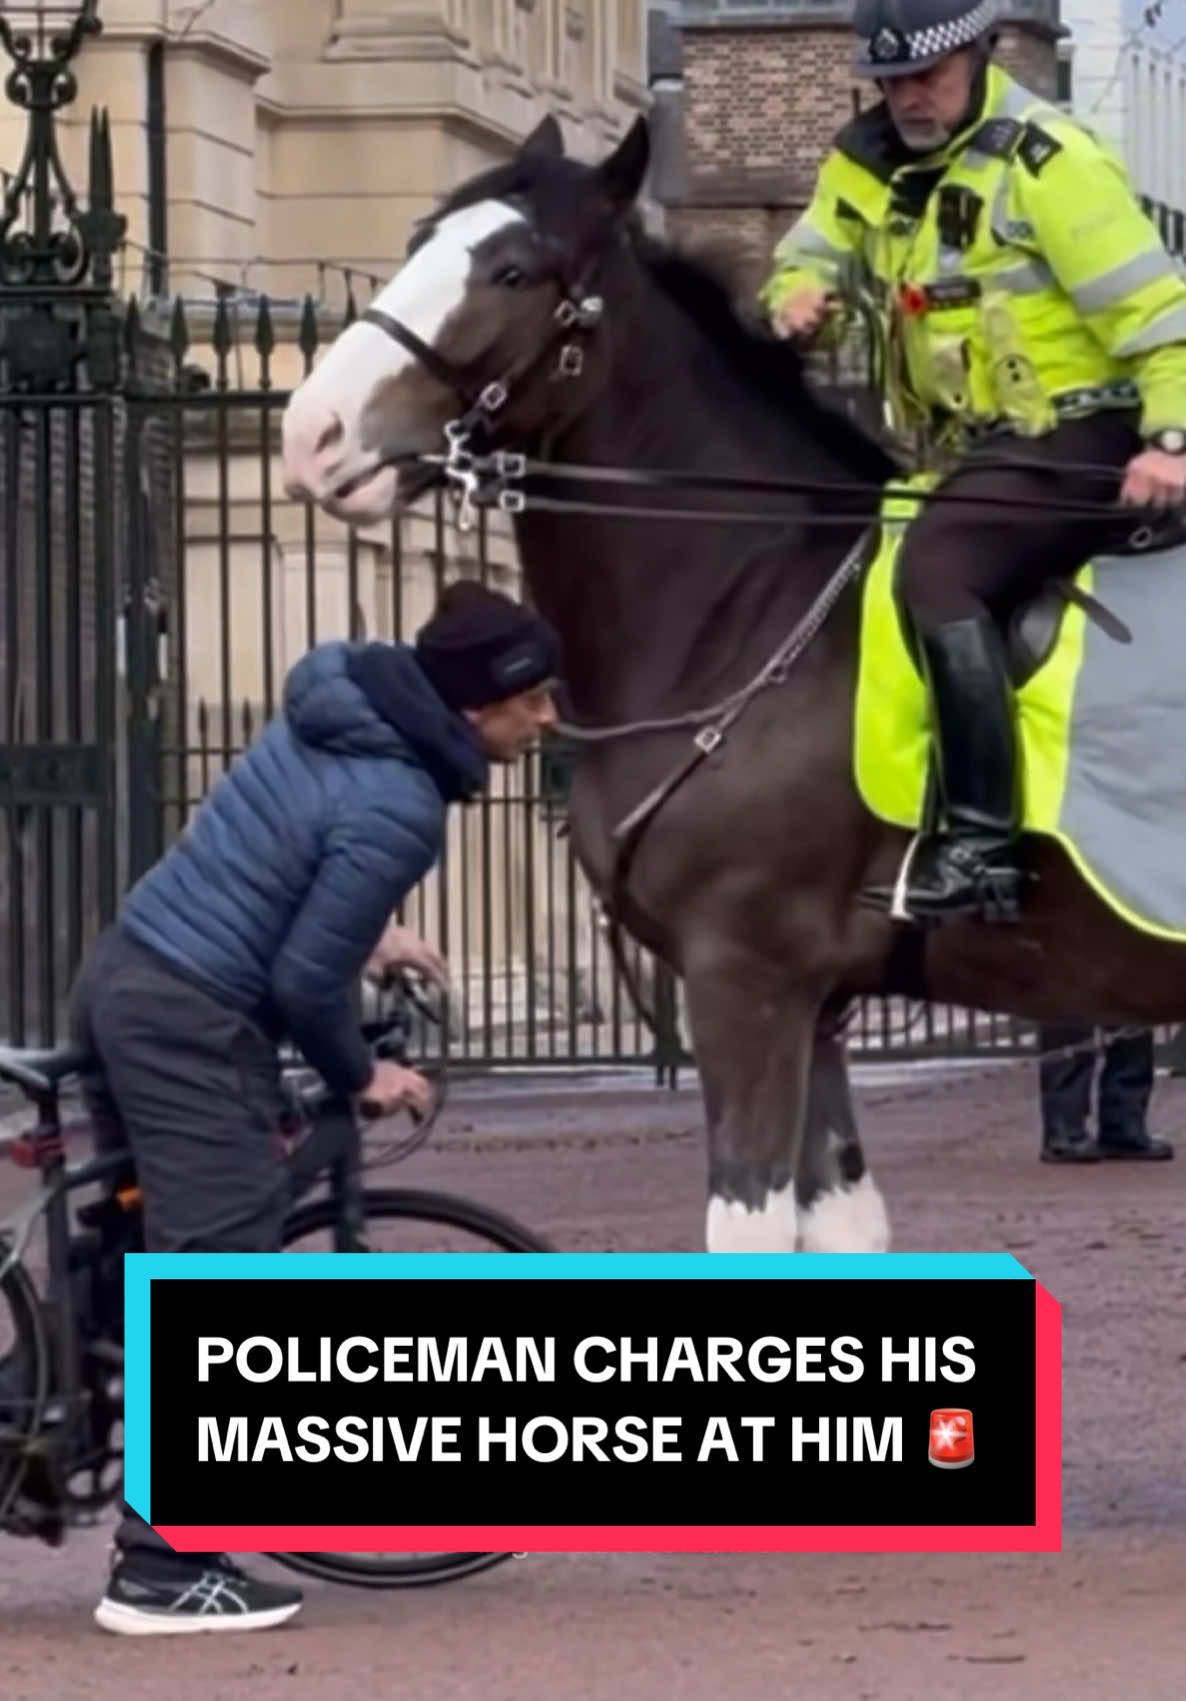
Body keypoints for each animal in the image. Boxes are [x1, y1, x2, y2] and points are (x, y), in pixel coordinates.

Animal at [284, 119, 1184, 1258]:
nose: (311, 432)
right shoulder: (818, 1006)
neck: (749, 599)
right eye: (415, 241)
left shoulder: (743, 983)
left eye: (513, 270)